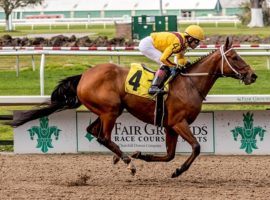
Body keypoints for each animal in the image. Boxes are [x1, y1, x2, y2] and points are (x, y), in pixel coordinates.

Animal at [8, 37, 258, 178]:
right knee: (103, 136)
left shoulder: (169, 125)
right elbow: (196, 148)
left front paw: (143, 154)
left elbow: (169, 155)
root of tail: (84, 76)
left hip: (107, 110)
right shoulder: (179, 122)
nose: (253, 76)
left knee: (93, 131)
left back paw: (123, 156)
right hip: (110, 110)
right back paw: (128, 162)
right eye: (235, 57)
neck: (190, 83)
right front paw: (177, 171)